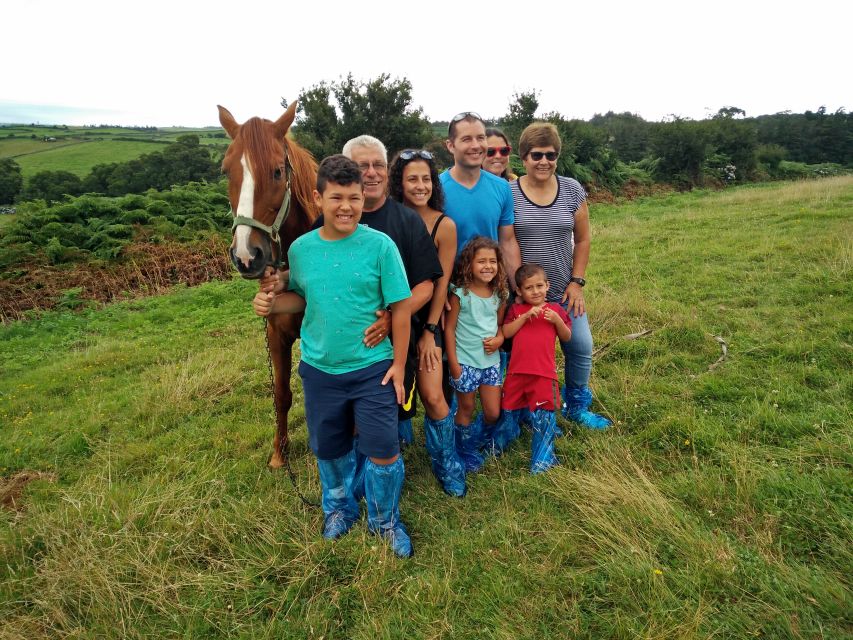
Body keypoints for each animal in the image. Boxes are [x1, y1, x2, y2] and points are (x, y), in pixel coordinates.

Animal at [218, 102, 318, 468]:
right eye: (226, 171)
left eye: (277, 171)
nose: (247, 255)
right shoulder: (276, 333)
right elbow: (281, 393)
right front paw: (279, 452)